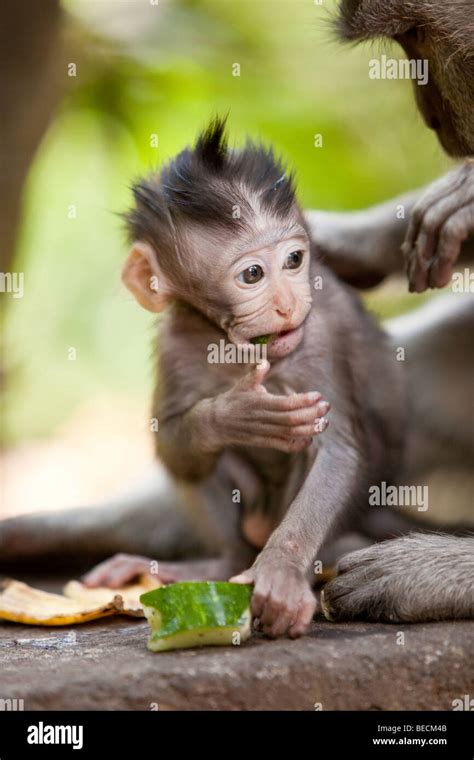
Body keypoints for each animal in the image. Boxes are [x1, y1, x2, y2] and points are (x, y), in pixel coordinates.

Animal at [84, 120, 404, 640]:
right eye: (252, 273)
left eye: (294, 260)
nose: (287, 305)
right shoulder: (174, 342)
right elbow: (169, 438)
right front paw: (236, 415)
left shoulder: (317, 336)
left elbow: (336, 450)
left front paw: (280, 572)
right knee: (197, 468)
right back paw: (214, 565)